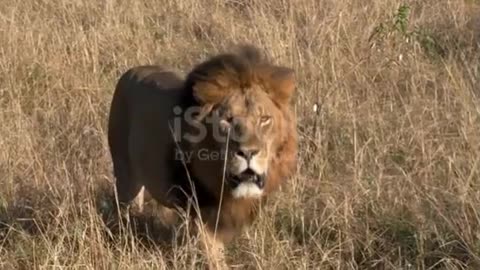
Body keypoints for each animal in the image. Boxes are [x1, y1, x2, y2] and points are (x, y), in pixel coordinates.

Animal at [107, 44, 298, 268]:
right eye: (227, 120)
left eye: (264, 119)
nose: (248, 152)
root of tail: (132, 71)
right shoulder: (202, 212)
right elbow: (214, 258)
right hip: (125, 175)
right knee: (125, 209)